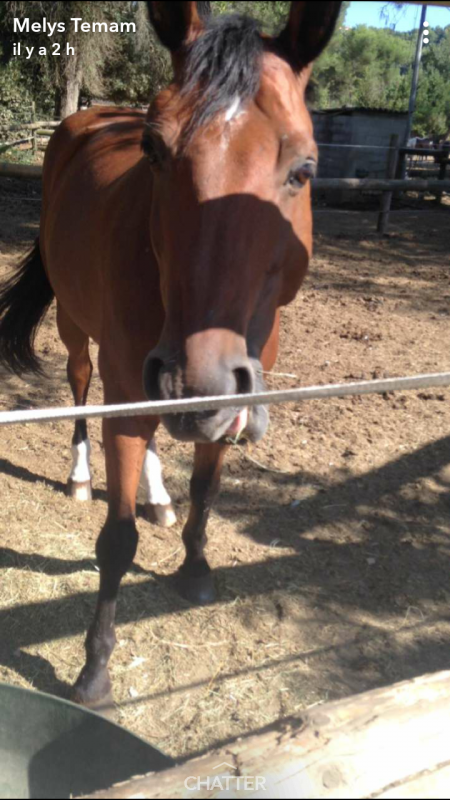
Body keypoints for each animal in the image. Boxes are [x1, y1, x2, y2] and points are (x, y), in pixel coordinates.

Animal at [0, 1, 341, 708]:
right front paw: (95, 671)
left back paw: (158, 494)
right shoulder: (129, 394)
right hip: (79, 331)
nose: (194, 380)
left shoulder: (230, 397)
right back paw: (81, 477)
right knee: (80, 387)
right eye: (155, 151)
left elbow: (207, 492)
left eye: (303, 170)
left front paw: (195, 566)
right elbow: (116, 539)